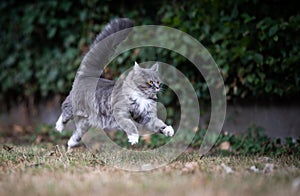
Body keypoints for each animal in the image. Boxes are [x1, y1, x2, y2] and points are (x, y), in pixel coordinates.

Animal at [55, 18, 175, 149]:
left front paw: (168, 130)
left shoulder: (147, 117)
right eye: (150, 82)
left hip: (86, 121)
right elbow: (130, 125)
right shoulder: (120, 113)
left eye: (158, 82)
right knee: (64, 112)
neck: (142, 98)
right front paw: (134, 138)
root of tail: (88, 76)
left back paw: (70, 143)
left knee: (77, 132)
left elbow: (159, 123)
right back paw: (59, 127)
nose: (157, 87)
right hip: (73, 108)